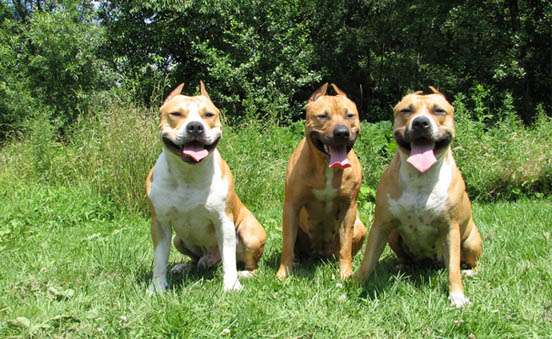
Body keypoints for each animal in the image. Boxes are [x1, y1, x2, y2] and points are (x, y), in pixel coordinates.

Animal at [146, 83, 266, 294]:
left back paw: (244, 273)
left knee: (247, 264)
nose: (195, 126)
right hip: (178, 240)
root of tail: (211, 259)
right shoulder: (160, 223)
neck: (188, 174)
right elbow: (159, 259)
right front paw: (157, 287)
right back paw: (184, 267)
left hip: (250, 233)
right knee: (196, 259)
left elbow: (229, 258)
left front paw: (231, 285)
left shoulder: (223, 221)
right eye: (176, 113)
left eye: (209, 114)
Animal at [276, 83, 366, 280]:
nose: (342, 133)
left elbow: (345, 247)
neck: (326, 166)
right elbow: (287, 245)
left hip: (360, 227)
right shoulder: (291, 206)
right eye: (323, 116)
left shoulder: (349, 207)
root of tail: (321, 254)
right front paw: (283, 273)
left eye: (350, 115)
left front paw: (346, 273)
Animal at [356, 87, 480, 308]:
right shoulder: (381, 225)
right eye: (406, 110)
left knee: (471, 263)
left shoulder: (450, 228)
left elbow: (453, 269)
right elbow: (368, 259)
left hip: (471, 240)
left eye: (439, 111)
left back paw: (468, 272)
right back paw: (401, 266)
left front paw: (457, 296)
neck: (421, 176)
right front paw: (353, 285)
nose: (421, 122)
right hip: (393, 236)